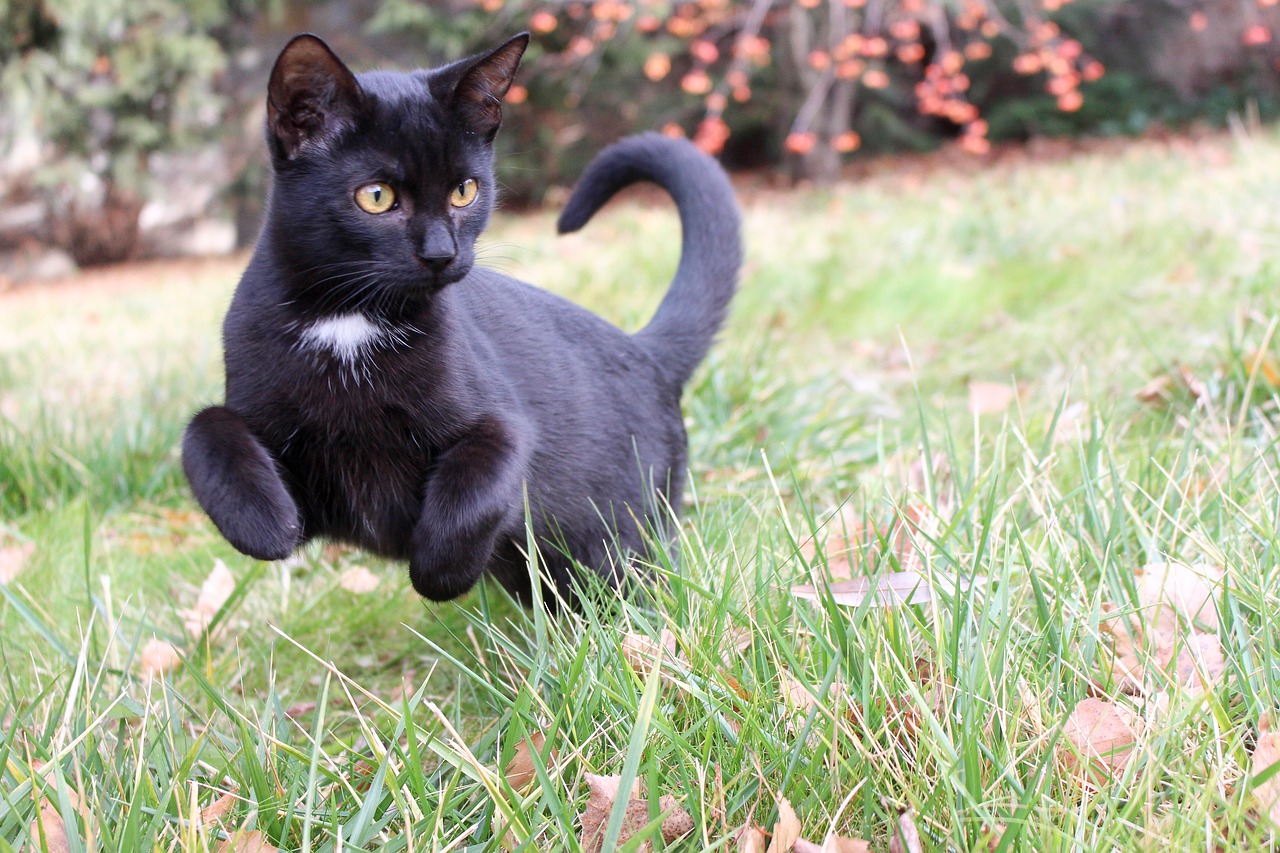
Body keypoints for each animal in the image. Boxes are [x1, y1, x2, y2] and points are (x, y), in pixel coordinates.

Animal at [180, 33, 742, 604]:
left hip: (624, 542)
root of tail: (646, 352)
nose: (441, 253)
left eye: (464, 191)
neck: (349, 322)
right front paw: (263, 524)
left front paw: (439, 572)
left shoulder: (503, 424)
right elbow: (204, 430)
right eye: (376, 197)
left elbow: (478, 483)